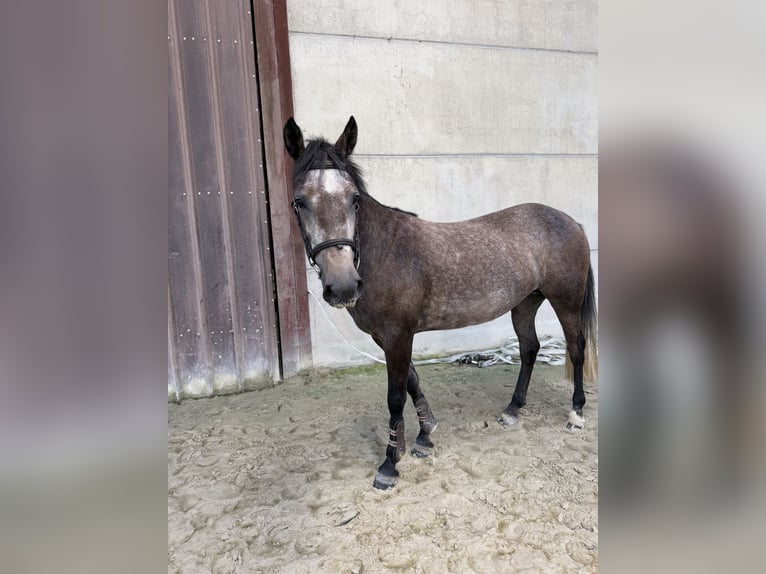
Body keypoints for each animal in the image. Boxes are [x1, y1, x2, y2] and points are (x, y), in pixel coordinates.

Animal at [283, 116, 597, 489]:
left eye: (354, 199)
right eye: (300, 201)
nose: (344, 286)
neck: (385, 252)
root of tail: (571, 221)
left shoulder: (398, 335)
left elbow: (395, 396)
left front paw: (390, 463)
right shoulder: (387, 337)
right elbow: (413, 381)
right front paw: (424, 437)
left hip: (566, 301)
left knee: (576, 348)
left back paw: (576, 413)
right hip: (525, 303)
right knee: (530, 348)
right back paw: (512, 410)